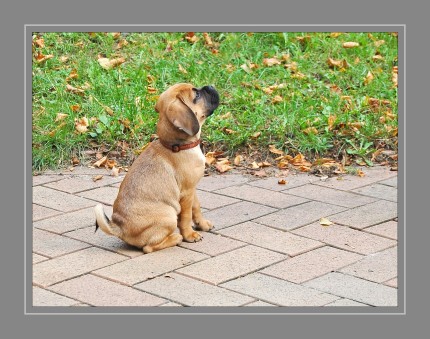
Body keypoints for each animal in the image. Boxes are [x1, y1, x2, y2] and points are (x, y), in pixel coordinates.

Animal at [95, 83, 220, 254]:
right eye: (197, 96)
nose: (211, 86)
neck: (177, 144)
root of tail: (119, 229)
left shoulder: (192, 190)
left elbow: (197, 207)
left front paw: (202, 225)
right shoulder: (186, 193)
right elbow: (186, 217)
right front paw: (189, 235)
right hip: (169, 215)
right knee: (148, 247)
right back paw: (176, 238)